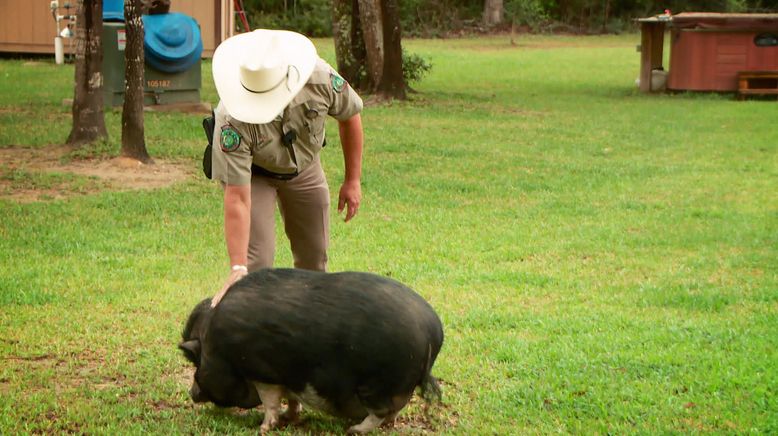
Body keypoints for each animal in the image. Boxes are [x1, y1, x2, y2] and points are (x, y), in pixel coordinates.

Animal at [177, 268, 442, 434]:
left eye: (196, 362)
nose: (192, 393)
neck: (215, 345)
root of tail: (432, 331)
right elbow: (290, 398)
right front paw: (288, 417)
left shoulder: (262, 372)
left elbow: (269, 401)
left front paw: (263, 428)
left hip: (376, 385)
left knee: (381, 411)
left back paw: (354, 430)